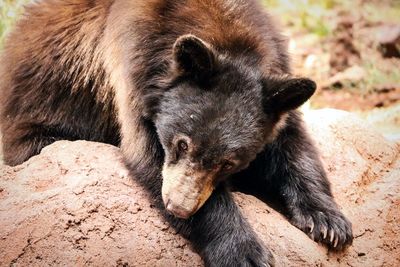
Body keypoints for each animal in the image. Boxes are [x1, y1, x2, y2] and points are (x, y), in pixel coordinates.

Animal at [0, 0, 352, 266]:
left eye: (229, 162)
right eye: (182, 143)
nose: (179, 207)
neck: (224, 32)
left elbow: (294, 144)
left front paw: (329, 222)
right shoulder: (132, 65)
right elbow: (148, 155)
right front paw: (243, 252)